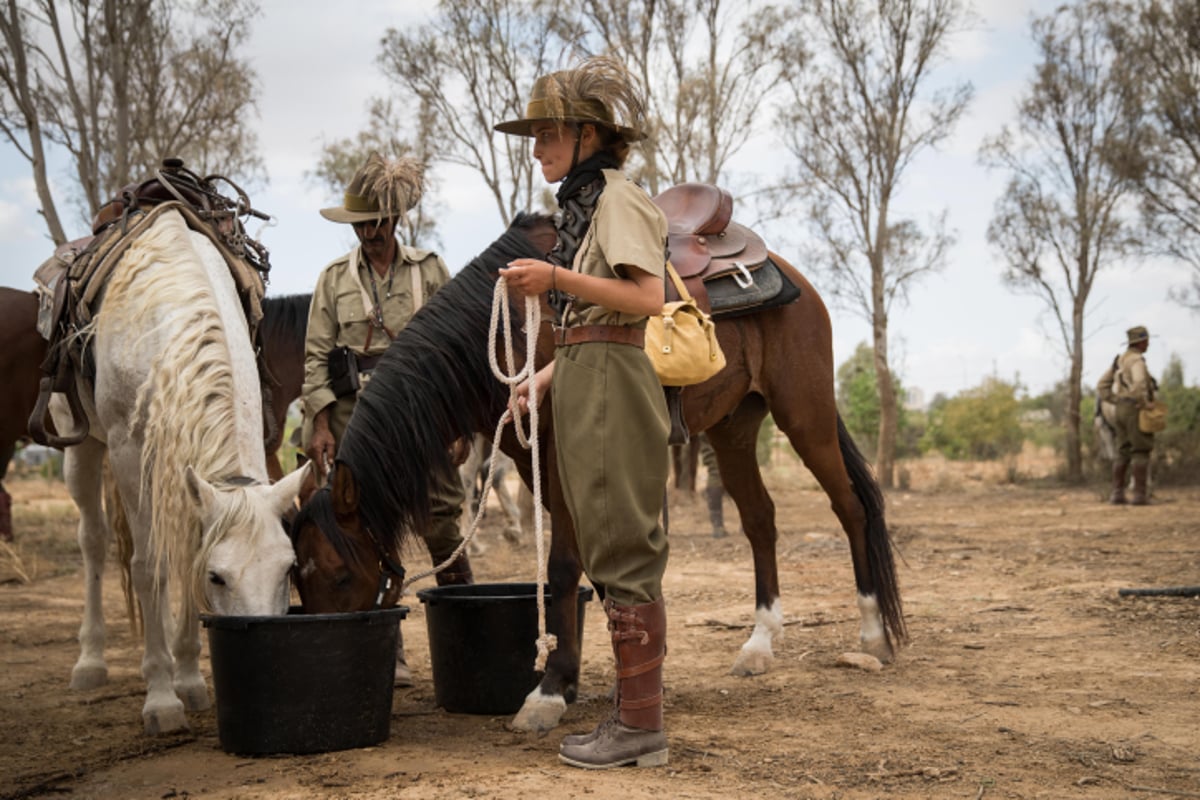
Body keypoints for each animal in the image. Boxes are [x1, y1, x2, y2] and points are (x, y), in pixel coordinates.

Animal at [55, 209, 309, 734]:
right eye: (217, 578)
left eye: (289, 567)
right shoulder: (128, 454)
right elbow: (149, 565)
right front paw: (161, 697)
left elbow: (187, 545)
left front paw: (189, 679)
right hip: (81, 445)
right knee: (93, 540)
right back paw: (90, 661)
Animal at [288, 211, 902, 734]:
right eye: (298, 574)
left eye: (339, 576)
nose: (326, 651)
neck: (515, 324)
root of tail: (793, 277)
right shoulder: (532, 464)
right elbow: (597, 570)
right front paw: (618, 673)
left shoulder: (562, 457)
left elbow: (563, 569)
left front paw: (549, 693)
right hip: (734, 428)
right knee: (759, 520)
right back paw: (760, 643)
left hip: (804, 413)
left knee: (850, 507)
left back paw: (873, 633)